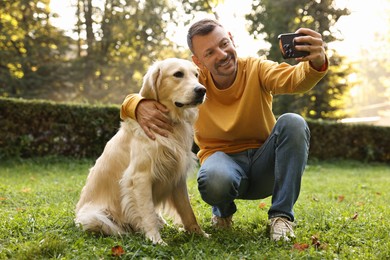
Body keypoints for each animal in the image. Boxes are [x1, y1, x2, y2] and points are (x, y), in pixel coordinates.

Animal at [75, 58, 207, 245]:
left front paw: (199, 234)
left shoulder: (177, 176)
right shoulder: (140, 177)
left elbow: (187, 210)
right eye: (178, 74)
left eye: (196, 75)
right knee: (120, 228)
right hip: (93, 217)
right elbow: (147, 213)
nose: (202, 90)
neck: (170, 122)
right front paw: (156, 240)